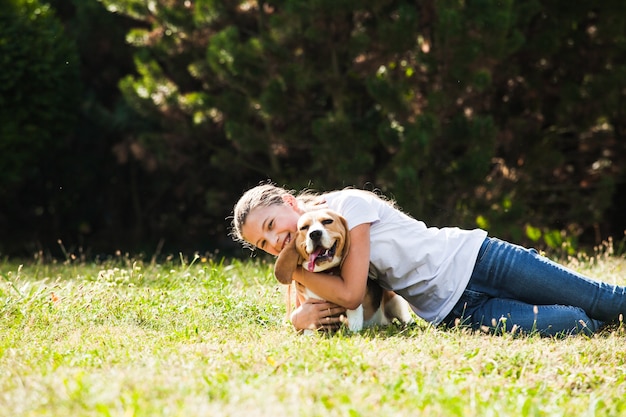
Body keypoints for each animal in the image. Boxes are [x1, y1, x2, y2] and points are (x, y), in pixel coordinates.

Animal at [272, 208, 410, 332]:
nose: (315, 234)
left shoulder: (353, 303)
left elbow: (353, 319)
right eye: (304, 227)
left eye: (328, 221)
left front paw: (353, 333)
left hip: (396, 302)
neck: (325, 272)